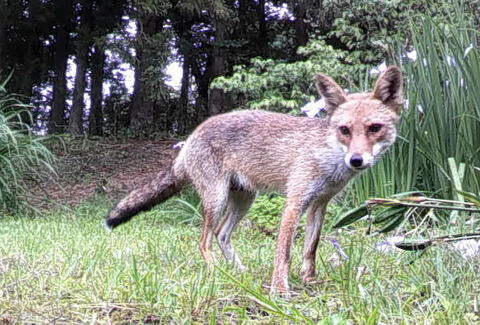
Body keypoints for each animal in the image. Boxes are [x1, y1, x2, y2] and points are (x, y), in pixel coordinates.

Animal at [103, 66, 404, 294]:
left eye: (374, 128)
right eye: (344, 130)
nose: (356, 160)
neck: (328, 158)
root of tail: (190, 138)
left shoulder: (320, 203)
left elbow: (311, 248)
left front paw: (309, 281)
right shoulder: (295, 201)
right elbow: (283, 253)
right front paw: (280, 290)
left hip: (244, 199)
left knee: (221, 234)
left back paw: (238, 272)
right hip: (217, 199)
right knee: (204, 241)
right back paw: (215, 273)